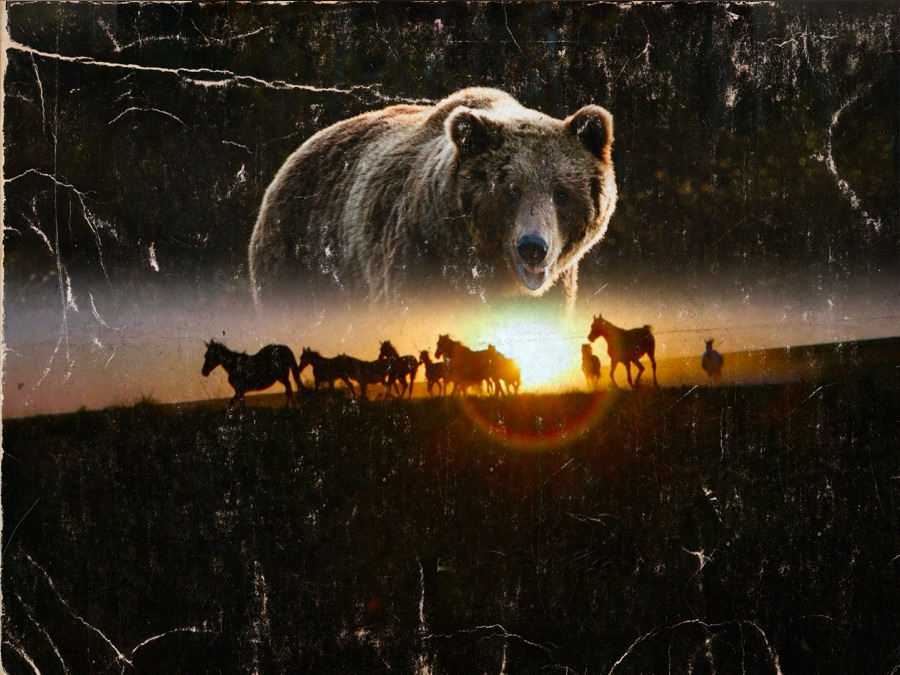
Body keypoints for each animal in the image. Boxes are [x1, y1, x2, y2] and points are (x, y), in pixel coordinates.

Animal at [248, 87, 616, 309]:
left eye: (561, 193)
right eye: (511, 190)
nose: (533, 247)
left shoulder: (553, 289)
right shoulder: (418, 256)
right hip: (301, 257)